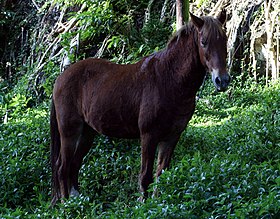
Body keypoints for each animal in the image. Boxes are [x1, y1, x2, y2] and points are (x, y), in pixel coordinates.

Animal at [49, 10, 230, 205]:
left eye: (224, 40)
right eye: (203, 42)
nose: (222, 80)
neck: (169, 79)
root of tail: (60, 78)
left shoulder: (171, 137)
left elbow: (161, 174)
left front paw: (157, 204)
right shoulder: (148, 136)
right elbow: (145, 177)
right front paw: (142, 205)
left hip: (87, 133)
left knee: (74, 165)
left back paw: (79, 201)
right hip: (69, 132)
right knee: (62, 167)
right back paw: (66, 204)